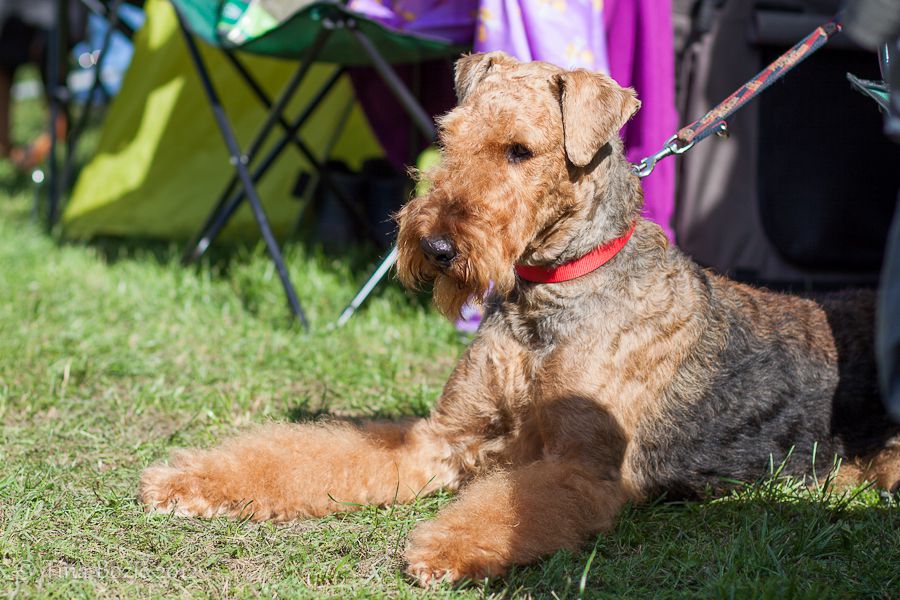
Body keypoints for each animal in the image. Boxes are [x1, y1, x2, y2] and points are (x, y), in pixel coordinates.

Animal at [139, 51, 900, 584]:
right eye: (449, 136)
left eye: (520, 151)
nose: (437, 247)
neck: (549, 298)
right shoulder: (440, 437)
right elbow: (309, 454)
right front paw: (188, 482)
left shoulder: (581, 467)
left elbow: (507, 506)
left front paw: (442, 548)